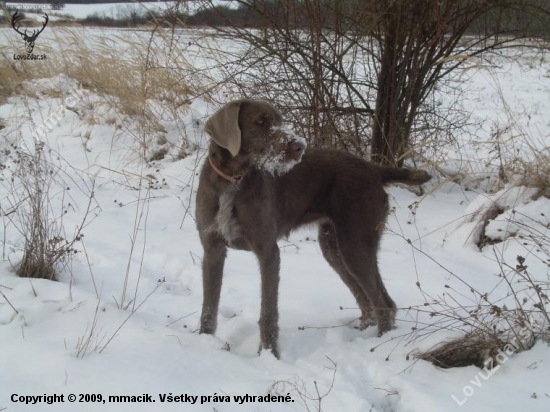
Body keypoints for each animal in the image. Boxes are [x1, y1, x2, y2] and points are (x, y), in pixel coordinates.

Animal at [196, 99, 434, 358]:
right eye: (260, 121)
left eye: (279, 120)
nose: (300, 146)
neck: (232, 179)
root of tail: (375, 169)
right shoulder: (212, 251)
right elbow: (208, 306)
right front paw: (203, 341)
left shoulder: (268, 252)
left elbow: (268, 311)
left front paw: (269, 354)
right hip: (334, 247)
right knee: (365, 299)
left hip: (355, 244)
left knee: (383, 302)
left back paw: (378, 344)